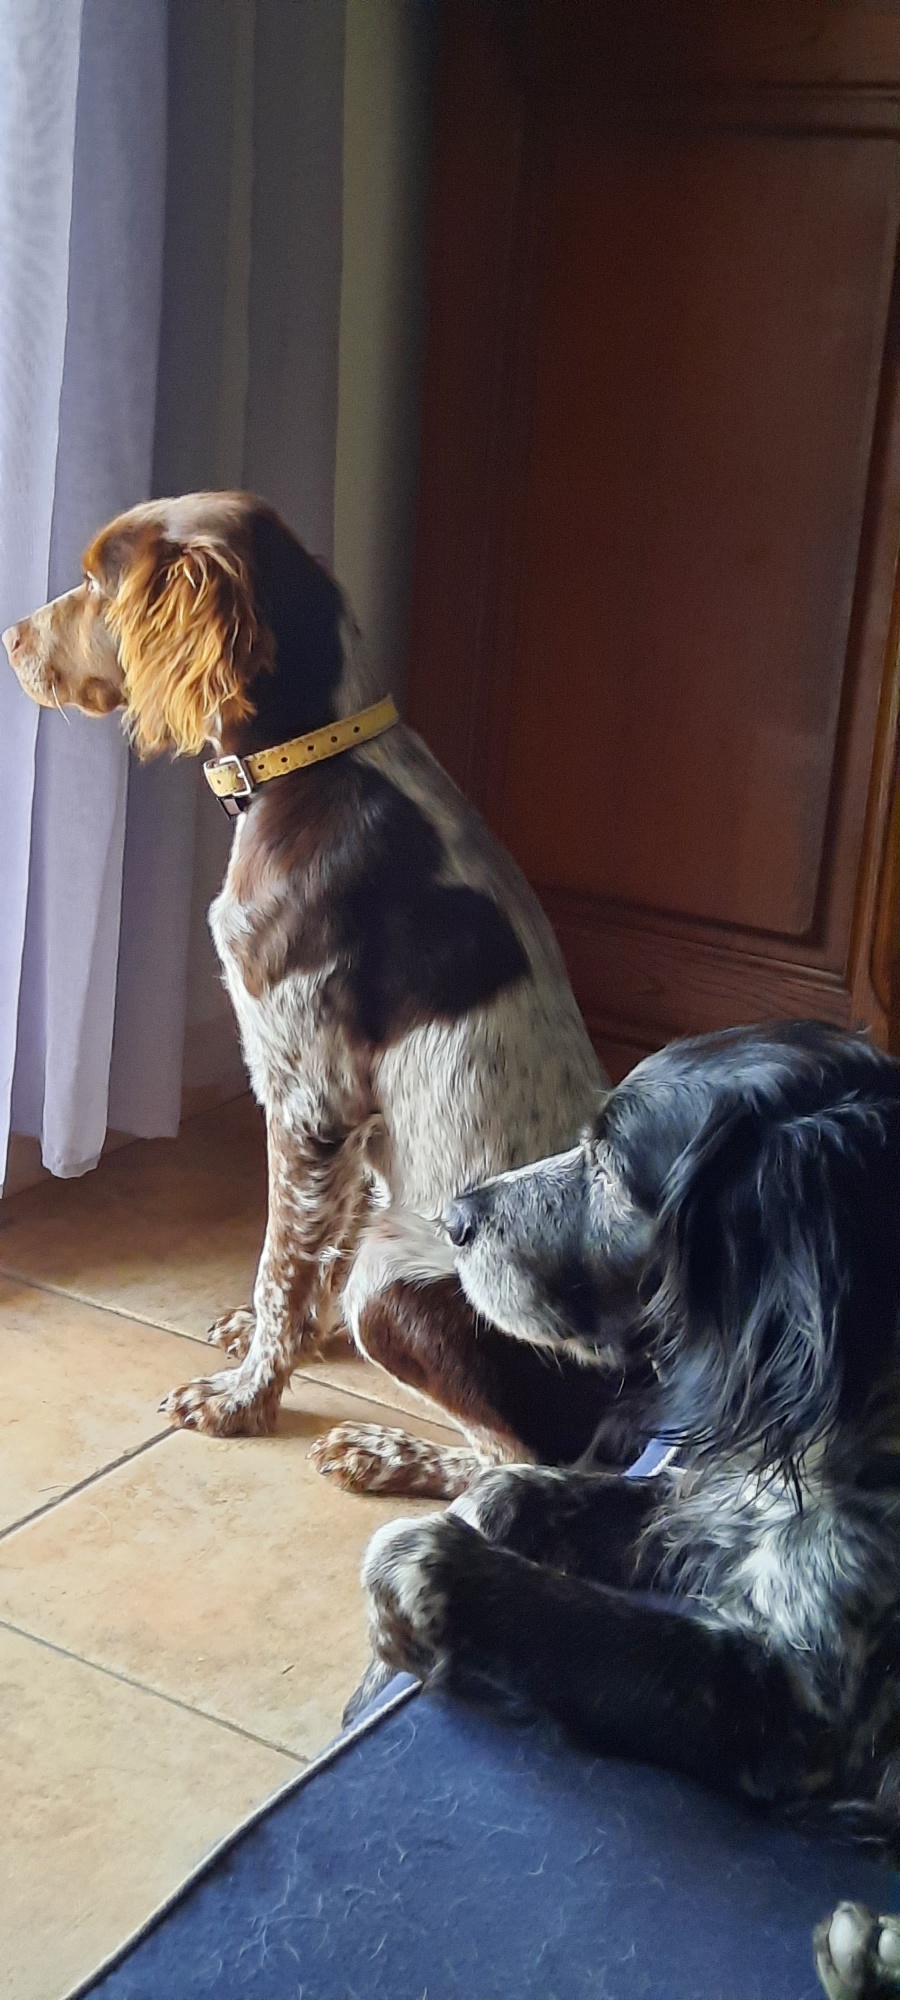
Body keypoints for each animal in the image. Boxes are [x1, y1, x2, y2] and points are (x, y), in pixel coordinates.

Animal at [2, 490, 638, 1494]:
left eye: (99, 580)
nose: (10, 639)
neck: (316, 760)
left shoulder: (308, 1094)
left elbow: (282, 1259)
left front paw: (242, 1400)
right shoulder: (347, 1122)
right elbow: (313, 1251)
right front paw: (283, 1344)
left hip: (400, 1278)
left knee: (522, 1463)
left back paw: (380, 1452)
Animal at [360, 1021, 900, 1999]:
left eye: (610, 1168)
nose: (455, 1220)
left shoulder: (798, 1707)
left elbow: (569, 1619)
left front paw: (417, 1583)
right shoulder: (708, 1503)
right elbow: (517, 1493)